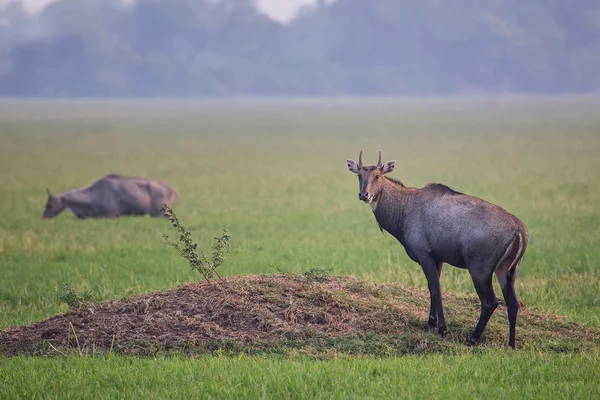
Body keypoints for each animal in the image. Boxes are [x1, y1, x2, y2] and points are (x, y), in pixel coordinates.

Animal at [344, 152, 528, 348]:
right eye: (359, 175)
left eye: (378, 175)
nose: (364, 194)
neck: (404, 209)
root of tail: (520, 231)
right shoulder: (437, 258)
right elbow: (431, 289)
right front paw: (430, 323)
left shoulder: (424, 255)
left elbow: (436, 290)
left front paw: (442, 329)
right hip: (507, 270)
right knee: (513, 303)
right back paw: (511, 344)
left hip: (480, 269)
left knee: (490, 301)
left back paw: (472, 338)